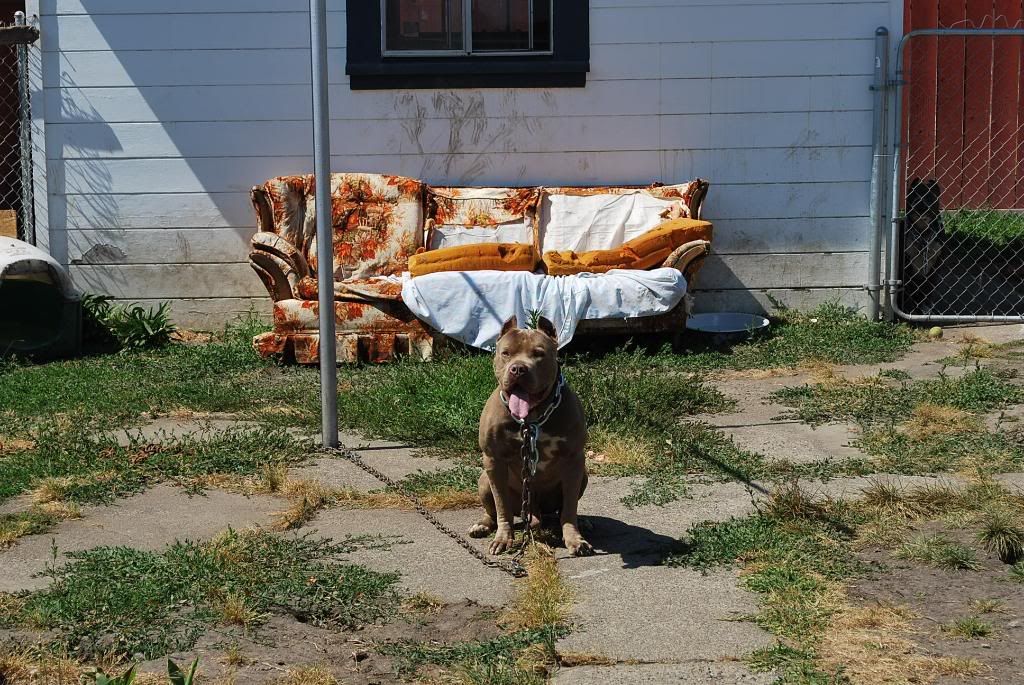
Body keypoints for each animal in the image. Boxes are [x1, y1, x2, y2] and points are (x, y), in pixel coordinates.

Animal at [468, 315, 593, 557]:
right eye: (506, 353)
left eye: (539, 353)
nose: (518, 369)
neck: (532, 420)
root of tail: (534, 512)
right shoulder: (493, 460)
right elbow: (502, 506)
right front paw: (503, 538)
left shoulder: (574, 459)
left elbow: (569, 507)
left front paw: (575, 539)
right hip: (484, 480)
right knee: (493, 512)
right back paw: (482, 525)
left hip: (582, 476)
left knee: (562, 509)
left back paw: (581, 522)